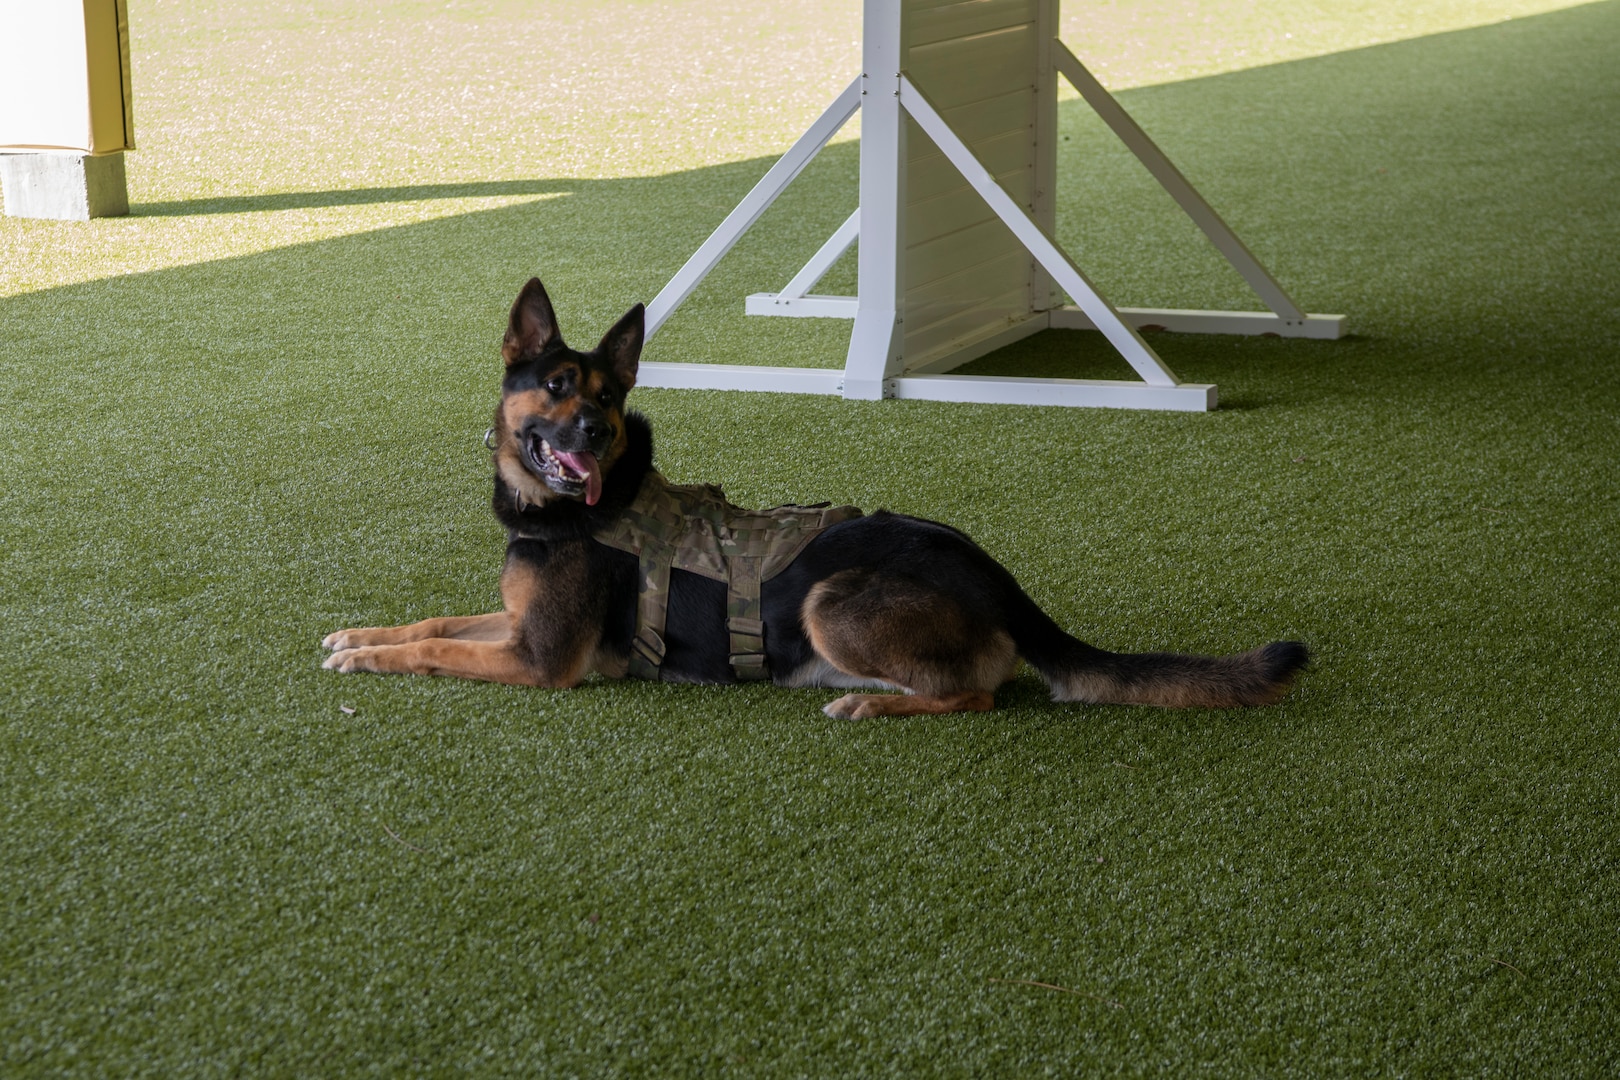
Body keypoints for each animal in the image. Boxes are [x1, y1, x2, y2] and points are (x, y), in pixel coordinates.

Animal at [322, 278, 1308, 718]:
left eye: (608, 397)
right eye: (558, 387)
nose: (594, 435)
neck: (576, 511)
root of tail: (996, 574)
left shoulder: (540, 659)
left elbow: (434, 653)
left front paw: (370, 663)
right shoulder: (515, 623)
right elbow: (432, 622)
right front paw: (360, 636)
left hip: (833, 601)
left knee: (977, 696)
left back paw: (877, 707)